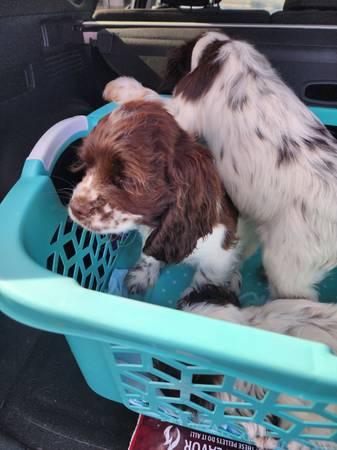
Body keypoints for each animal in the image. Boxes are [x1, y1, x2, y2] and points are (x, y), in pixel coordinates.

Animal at [68, 100, 242, 294]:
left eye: (127, 180)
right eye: (87, 163)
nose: (76, 207)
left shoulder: (219, 256)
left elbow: (205, 280)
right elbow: (150, 252)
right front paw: (142, 275)